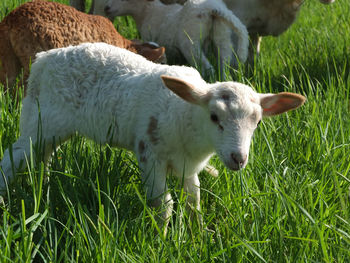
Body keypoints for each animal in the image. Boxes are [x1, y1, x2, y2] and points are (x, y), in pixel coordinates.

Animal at [0, 43, 306, 235]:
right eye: (214, 117)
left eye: (257, 122)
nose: (238, 159)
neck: (185, 114)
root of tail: (43, 58)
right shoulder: (150, 154)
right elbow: (164, 204)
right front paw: (162, 239)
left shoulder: (188, 166)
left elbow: (193, 199)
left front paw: (198, 234)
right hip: (37, 120)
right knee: (12, 157)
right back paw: (5, 196)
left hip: (50, 129)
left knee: (44, 157)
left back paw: (44, 185)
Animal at [103, 0, 249, 77]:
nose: (106, 8)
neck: (147, 12)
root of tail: (212, 8)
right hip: (222, 33)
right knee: (224, 60)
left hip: (190, 41)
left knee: (206, 66)